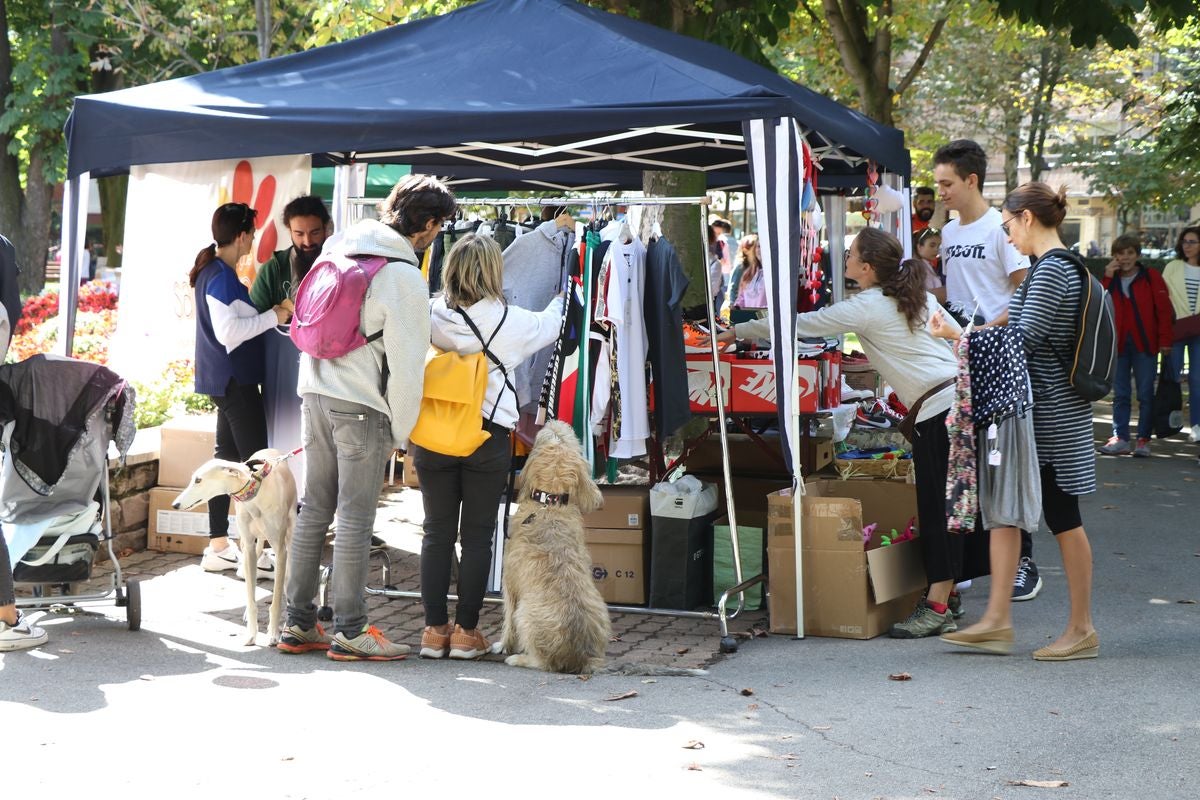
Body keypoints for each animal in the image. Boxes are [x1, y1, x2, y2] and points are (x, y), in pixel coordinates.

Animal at [172, 448, 296, 647]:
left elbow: (276, 599)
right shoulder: (249, 548)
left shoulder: (280, 549)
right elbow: (251, 597)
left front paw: (273, 634)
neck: (255, 493)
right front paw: (251, 634)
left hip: (290, 535)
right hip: (249, 545)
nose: (175, 505)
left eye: (198, 480)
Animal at [499, 419, 609, 676]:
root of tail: (581, 657)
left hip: (525, 613)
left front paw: (503, 645)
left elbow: (507, 620)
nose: (554, 421)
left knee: (542, 662)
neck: (549, 502)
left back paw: (519, 658)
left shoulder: (509, 585)